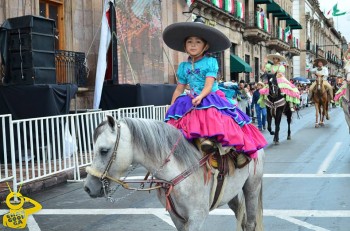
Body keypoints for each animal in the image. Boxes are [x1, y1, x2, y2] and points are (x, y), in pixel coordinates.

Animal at [84, 116, 266, 230]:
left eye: (104, 150)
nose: (88, 188)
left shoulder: (197, 217)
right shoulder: (176, 218)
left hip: (252, 188)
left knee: (250, 223)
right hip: (232, 195)